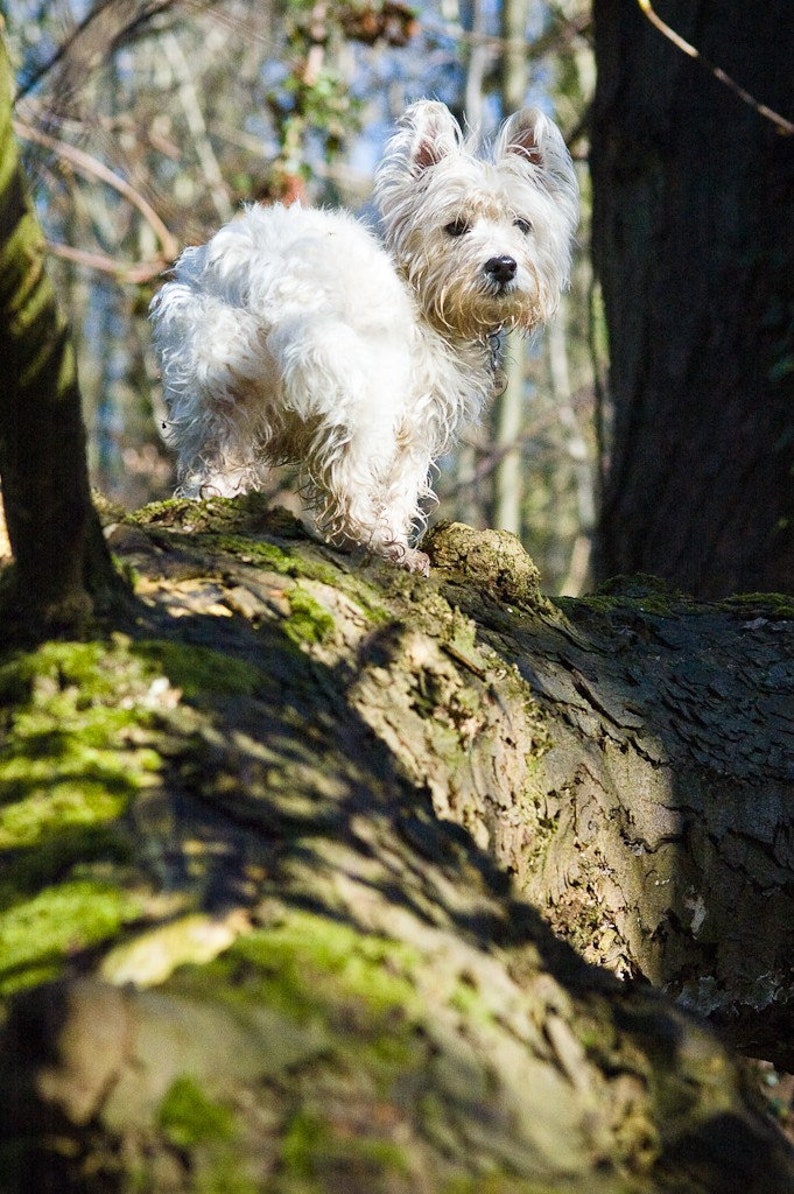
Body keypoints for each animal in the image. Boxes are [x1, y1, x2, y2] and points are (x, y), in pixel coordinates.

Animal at [151, 97, 580, 573]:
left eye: (522, 224)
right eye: (455, 226)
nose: (503, 265)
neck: (421, 289)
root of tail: (261, 274)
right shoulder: (415, 423)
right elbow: (400, 490)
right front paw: (396, 538)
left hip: (216, 386)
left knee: (213, 460)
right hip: (361, 394)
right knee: (349, 479)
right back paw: (377, 544)